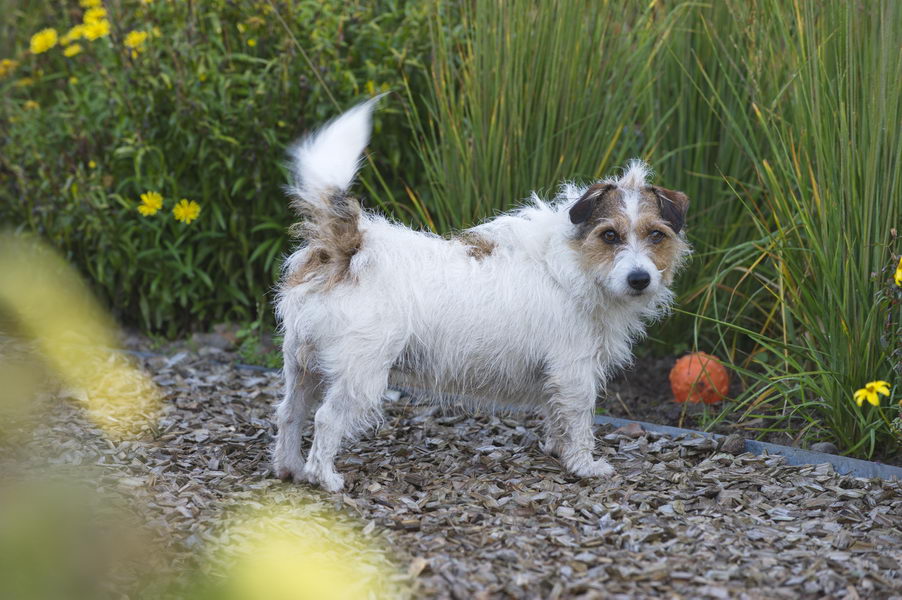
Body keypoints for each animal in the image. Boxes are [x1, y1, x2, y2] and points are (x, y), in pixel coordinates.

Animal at [273, 98, 690, 491]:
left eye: (656, 235)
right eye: (610, 235)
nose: (640, 279)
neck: (574, 265)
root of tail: (351, 250)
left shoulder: (559, 376)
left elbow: (556, 415)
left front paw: (556, 450)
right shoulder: (574, 372)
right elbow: (577, 421)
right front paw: (583, 464)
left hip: (302, 366)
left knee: (290, 413)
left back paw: (289, 468)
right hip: (360, 375)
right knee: (326, 419)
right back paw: (324, 477)